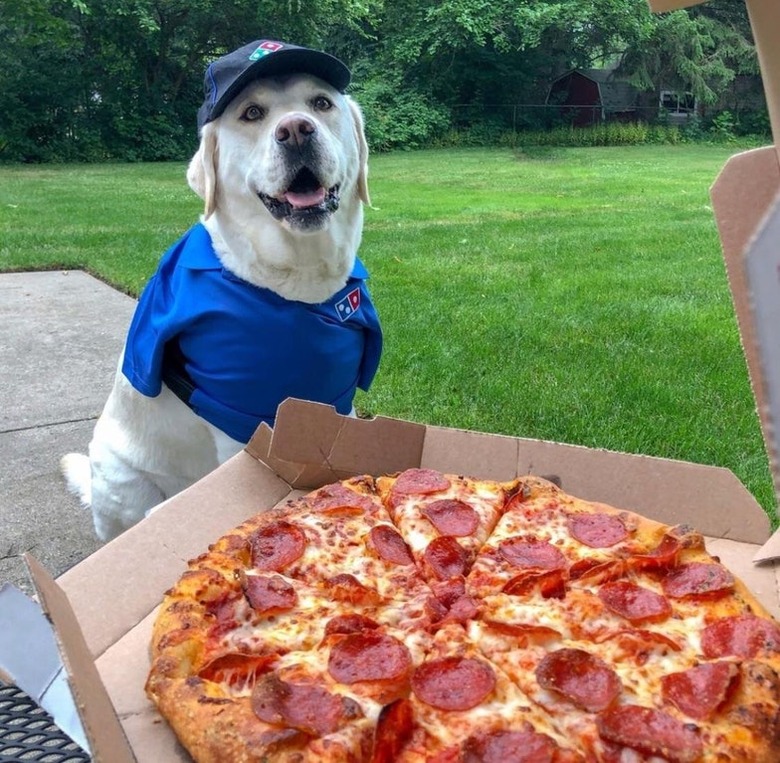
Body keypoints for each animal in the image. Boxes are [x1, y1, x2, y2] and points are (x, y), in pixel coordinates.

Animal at [61, 40, 380, 544]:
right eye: (252, 113)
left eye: (321, 103)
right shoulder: (244, 419)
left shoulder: (337, 405)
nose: (295, 130)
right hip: (122, 481)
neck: (299, 281)